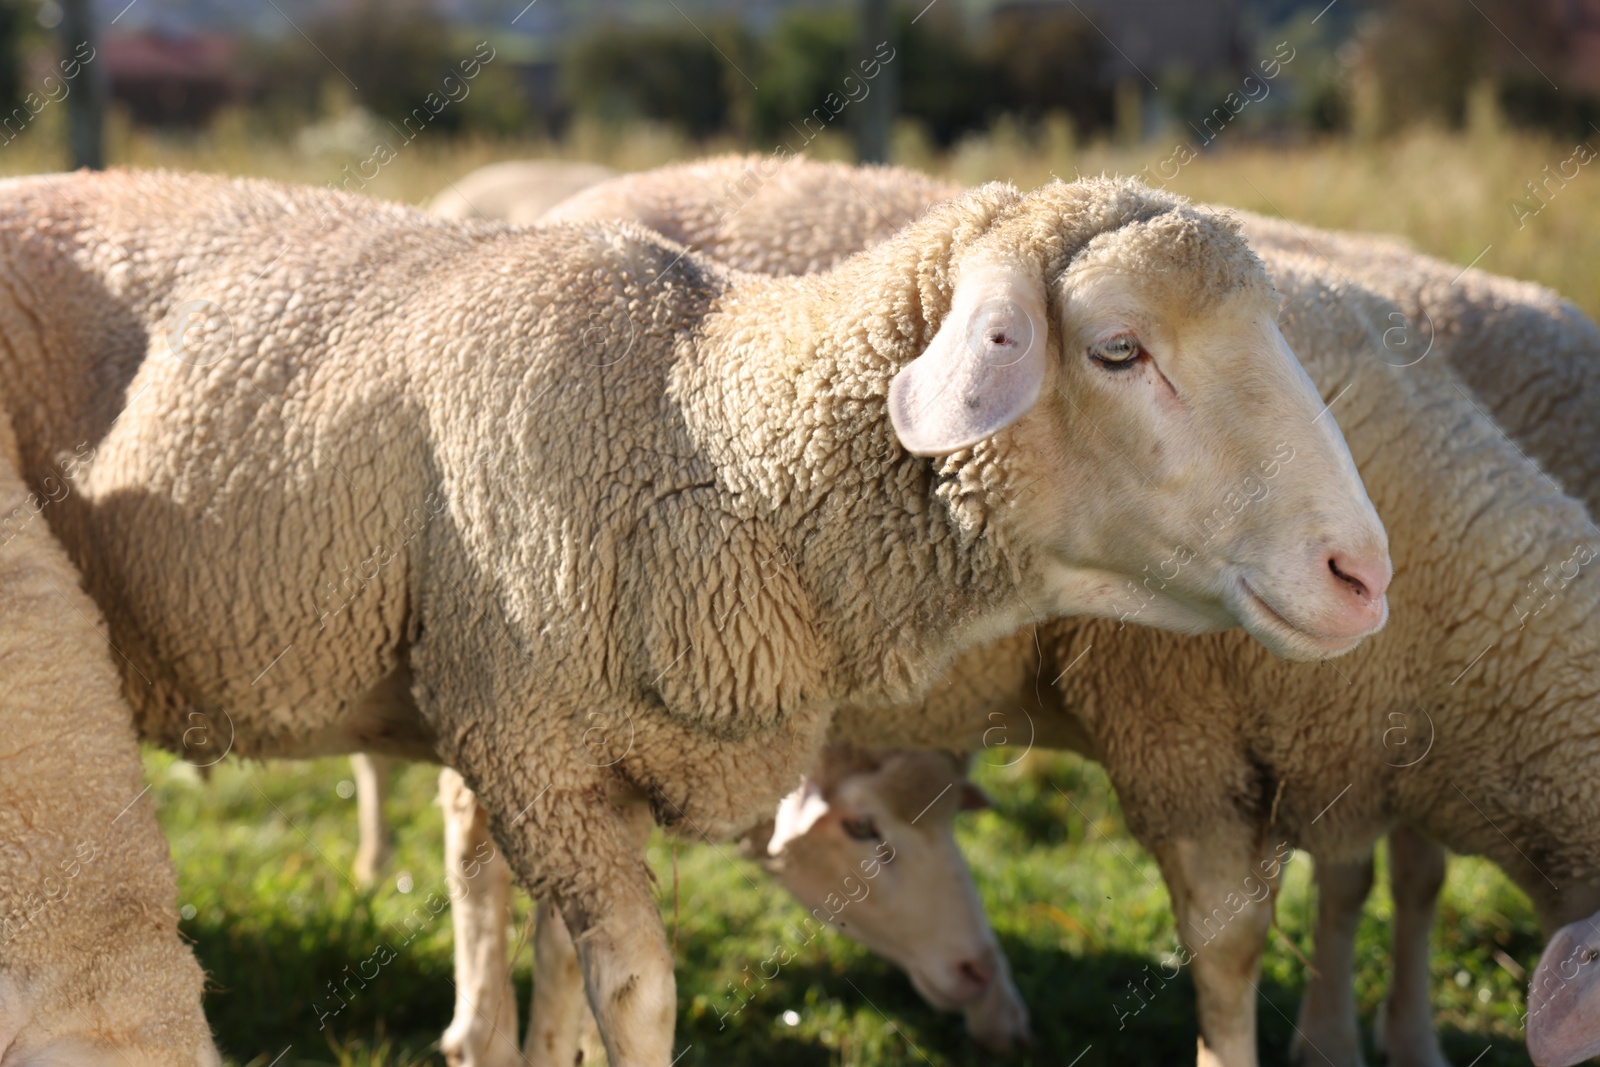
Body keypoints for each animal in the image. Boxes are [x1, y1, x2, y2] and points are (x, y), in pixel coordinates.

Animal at [438, 748, 1030, 1067]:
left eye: (952, 821)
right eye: (861, 826)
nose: (979, 971)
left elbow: (565, 945)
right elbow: (475, 848)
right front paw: (480, 1040)